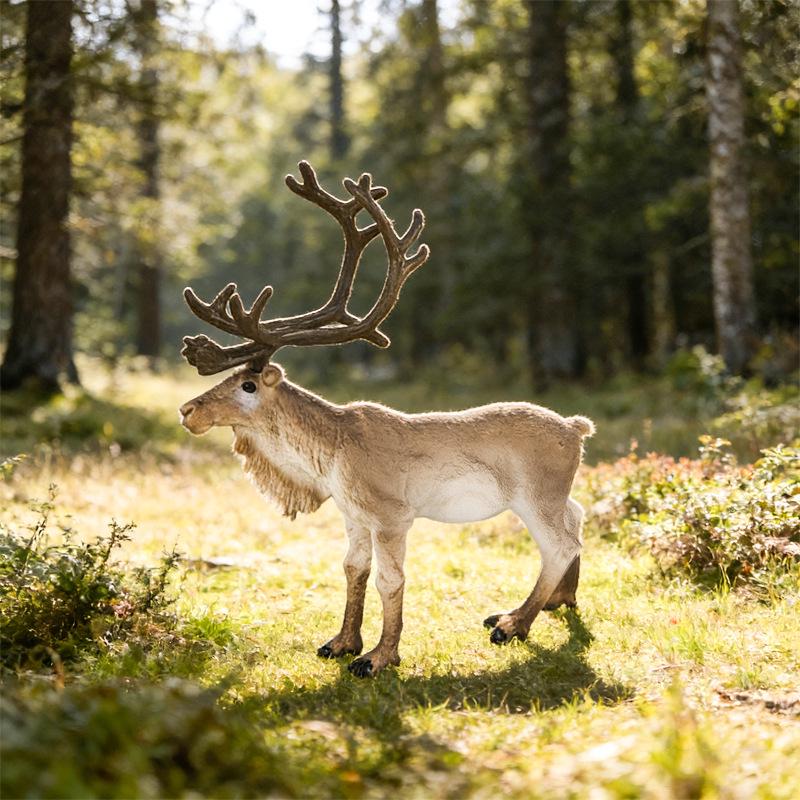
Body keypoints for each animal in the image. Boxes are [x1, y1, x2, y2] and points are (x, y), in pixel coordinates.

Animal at [179, 161, 594, 678]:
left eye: (248, 385)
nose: (188, 409)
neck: (327, 460)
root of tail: (578, 427)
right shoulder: (353, 514)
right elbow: (352, 569)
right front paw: (341, 642)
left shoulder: (392, 515)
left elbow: (390, 580)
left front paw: (379, 657)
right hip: (552, 493)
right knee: (578, 518)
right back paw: (555, 602)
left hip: (535, 492)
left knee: (560, 542)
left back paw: (513, 624)